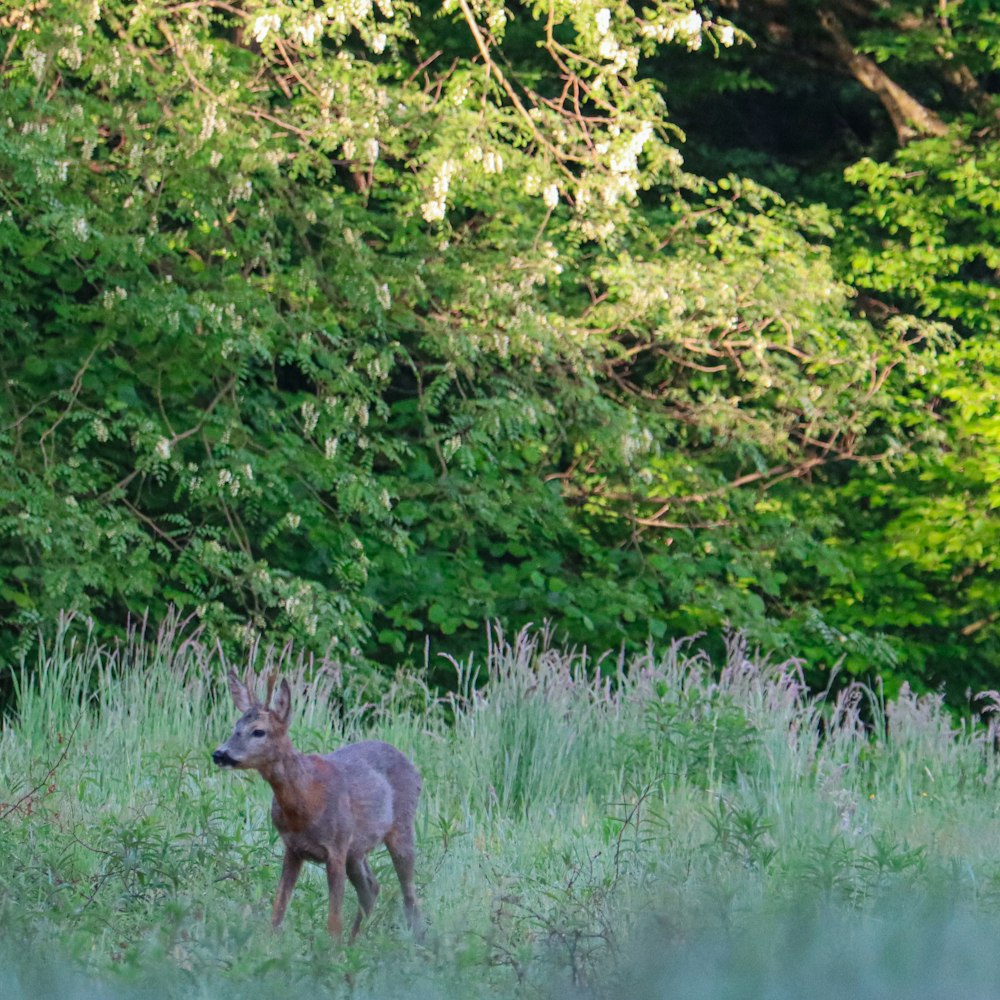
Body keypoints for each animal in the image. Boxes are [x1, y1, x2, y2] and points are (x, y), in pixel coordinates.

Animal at [213, 668, 424, 940]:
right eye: (236, 727)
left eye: (258, 731)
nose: (220, 754)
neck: (306, 802)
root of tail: (414, 769)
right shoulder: (293, 848)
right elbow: (278, 908)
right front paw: (268, 943)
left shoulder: (336, 848)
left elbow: (333, 920)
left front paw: (330, 949)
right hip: (356, 849)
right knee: (371, 887)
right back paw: (353, 941)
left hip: (400, 826)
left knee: (409, 893)